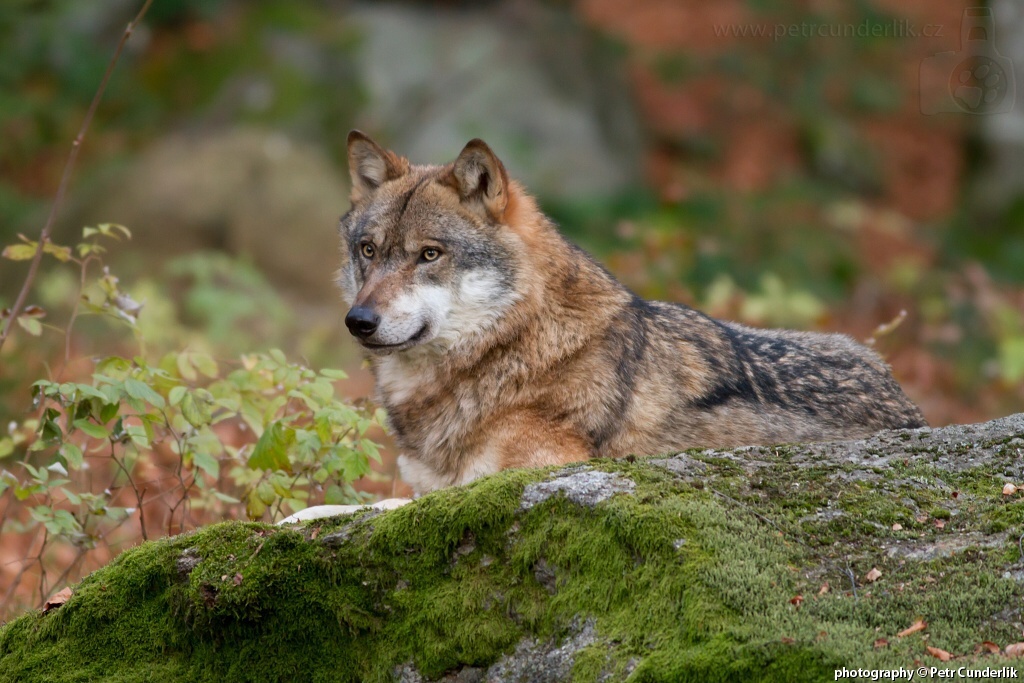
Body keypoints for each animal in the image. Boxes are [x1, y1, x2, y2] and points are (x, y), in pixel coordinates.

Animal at [335, 132, 929, 497]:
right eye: (368, 250)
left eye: (429, 255)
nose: (358, 321)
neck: (510, 351)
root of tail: (907, 401)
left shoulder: (531, 471)